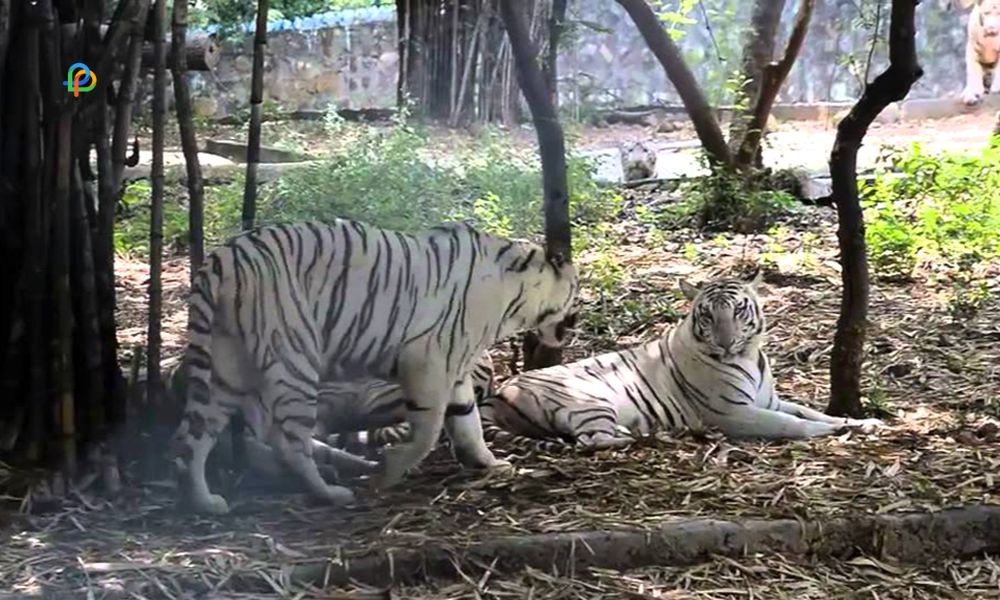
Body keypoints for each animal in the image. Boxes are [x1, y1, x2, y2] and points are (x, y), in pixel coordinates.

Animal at [170, 220, 580, 516]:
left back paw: (203, 503)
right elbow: (429, 430)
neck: (518, 293)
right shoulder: (429, 360)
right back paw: (331, 493)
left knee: (193, 439)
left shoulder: (456, 367)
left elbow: (468, 423)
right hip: (294, 357)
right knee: (288, 442)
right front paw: (392, 470)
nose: (576, 319)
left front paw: (490, 463)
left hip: (224, 368)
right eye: (575, 289)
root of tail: (223, 259)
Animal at [484, 268, 884, 450]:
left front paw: (861, 422)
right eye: (707, 316)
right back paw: (653, 436)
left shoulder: (769, 400)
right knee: (591, 440)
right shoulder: (733, 412)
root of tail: (500, 391)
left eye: (739, 311)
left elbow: (809, 411)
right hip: (589, 401)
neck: (750, 357)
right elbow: (792, 424)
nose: (726, 342)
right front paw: (832, 432)